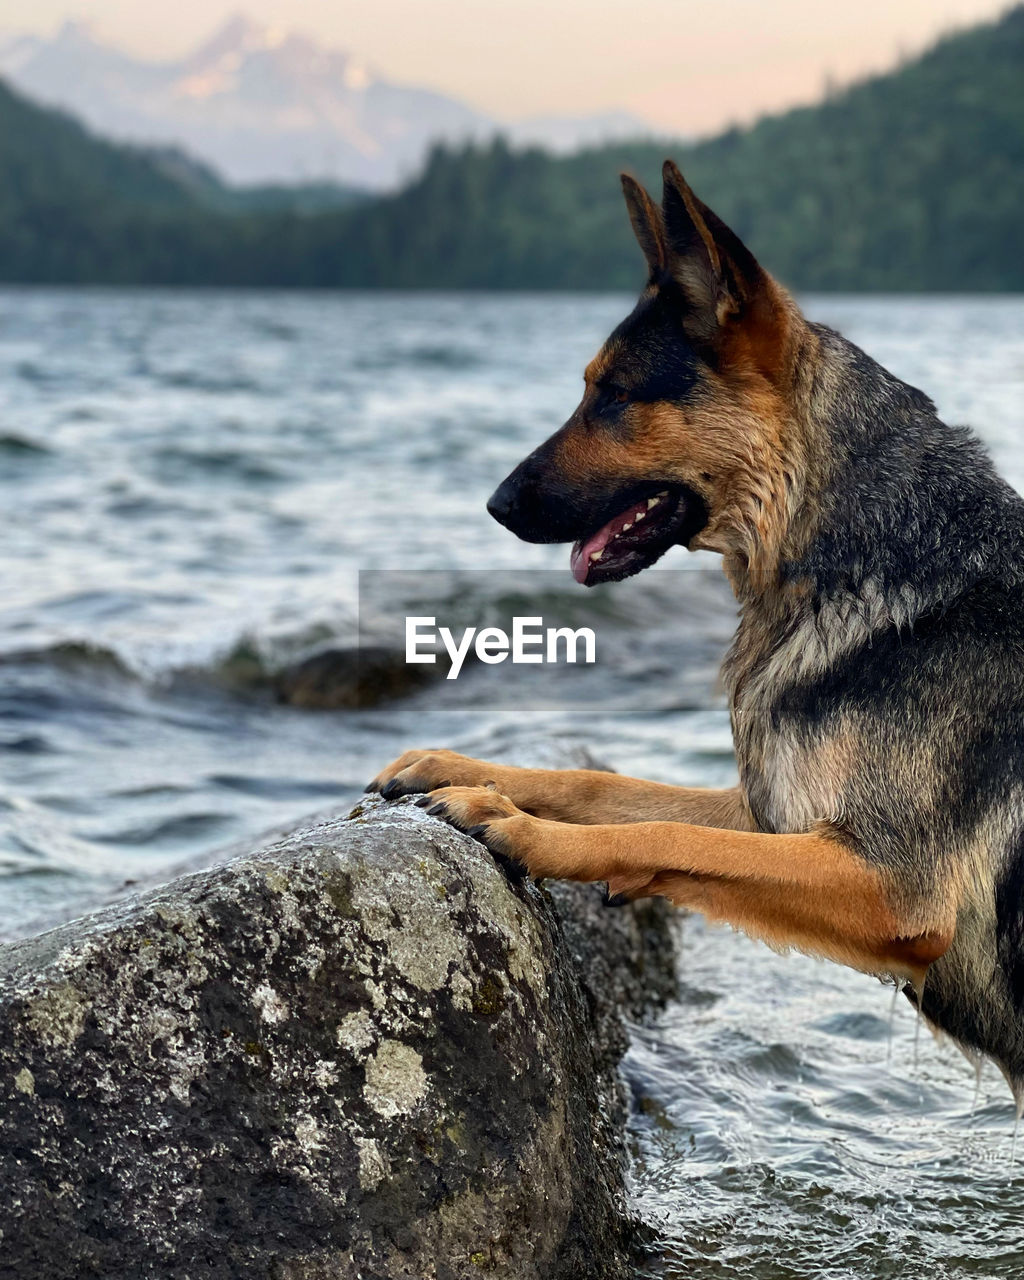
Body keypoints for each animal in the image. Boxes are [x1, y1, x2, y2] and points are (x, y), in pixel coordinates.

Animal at [371, 162, 1024, 1100]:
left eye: (612, 395)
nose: (494, 505)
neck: (852, 556)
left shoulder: (892, 888)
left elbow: (663, 831)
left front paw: (517, 827)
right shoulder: (774, 819)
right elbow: (604, 788)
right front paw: (466, 769)